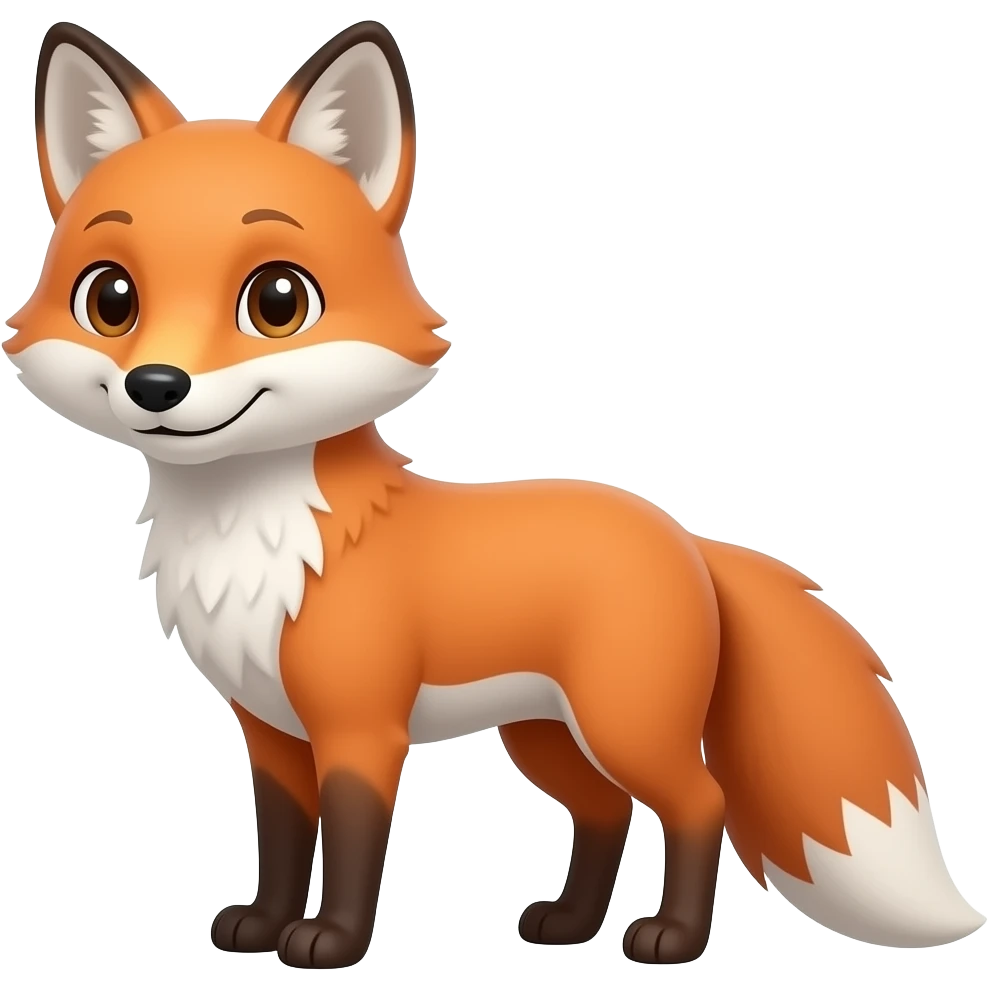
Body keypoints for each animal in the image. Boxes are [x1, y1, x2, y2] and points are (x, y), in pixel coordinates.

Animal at [3, 17, 984, 971]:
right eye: (111, 299)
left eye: (277, 300)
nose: (156, 387)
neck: (265, 539)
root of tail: (684, 535)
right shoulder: (271, 732)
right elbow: (280, 840)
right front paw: (263, 923)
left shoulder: (362, 727)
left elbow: (352, 843)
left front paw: (330, 943)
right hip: (545, 735)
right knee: (603, 812)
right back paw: (568, 923)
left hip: (621, 723)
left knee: (697, 802)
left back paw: (670, 940)